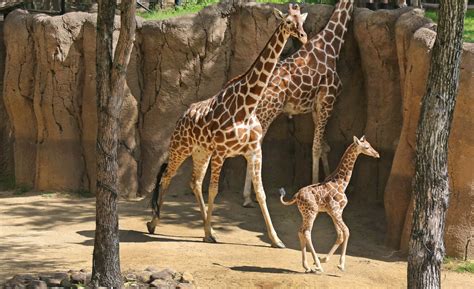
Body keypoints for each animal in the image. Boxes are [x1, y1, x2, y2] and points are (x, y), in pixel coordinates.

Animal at [146, 3, 310, 248]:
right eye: (288, 22)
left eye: (302, 21)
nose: (303, 36)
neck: (247, 107)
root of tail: (182, 115)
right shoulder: (221, 152)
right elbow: (214, 190)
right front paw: (209, 234)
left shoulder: (254, 151)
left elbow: (261, 193)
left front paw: (276, 239)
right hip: (180, 147)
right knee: (167, 176)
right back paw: (154, 223)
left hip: (201, 152)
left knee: (195, 182)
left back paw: (207, 227)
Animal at [243, 0, 354, 207]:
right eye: (288, 21)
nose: (303, 35)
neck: (332, 45)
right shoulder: (328, 100)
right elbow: (316, 147)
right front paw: (315, 186)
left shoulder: (316, 107)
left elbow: (324, 146)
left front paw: (329, 180)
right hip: (268, 112)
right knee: (255, 146)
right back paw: (247, 197)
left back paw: (249, 195)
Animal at [280, 136, 380, 272]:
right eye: (366, 147)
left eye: (369, 144)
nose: (377, 154)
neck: (342, 183)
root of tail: (296, 196)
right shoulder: (335, 210)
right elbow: (347, 231)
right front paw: (341, 265)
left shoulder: (333, 212)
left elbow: (340, 234)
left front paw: (325, 259)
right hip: (311, 212)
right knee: (307, 232)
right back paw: (318, 266)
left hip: (306, 213)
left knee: (301, 231)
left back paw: (307, 266)